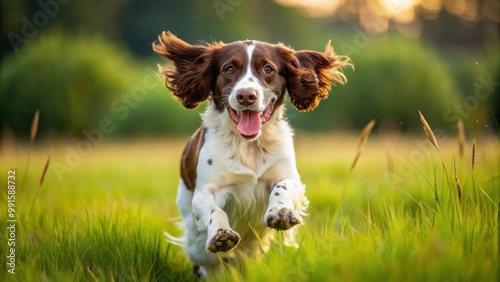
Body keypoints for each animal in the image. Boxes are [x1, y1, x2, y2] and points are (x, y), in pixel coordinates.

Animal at [153, 31, 352, 278]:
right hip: (198, 248)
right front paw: (221, 234)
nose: (246, 96)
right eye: (229, 69)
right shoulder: (205, 192)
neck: (249, 145)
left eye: (267, 69)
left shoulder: (290, 177)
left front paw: (281, 212)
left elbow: (282, 186)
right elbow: (215, 210)